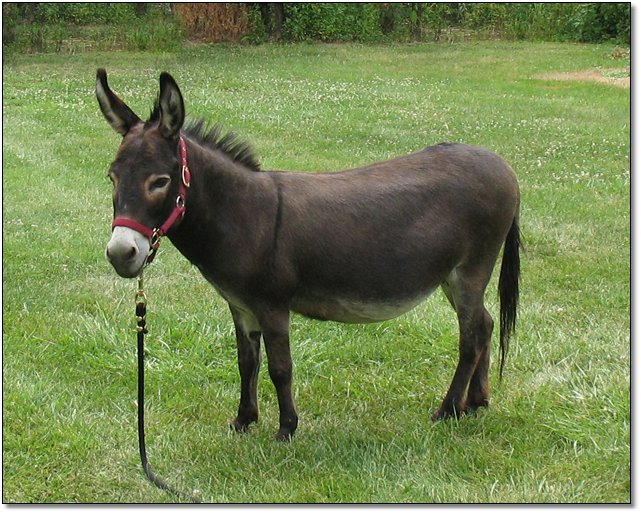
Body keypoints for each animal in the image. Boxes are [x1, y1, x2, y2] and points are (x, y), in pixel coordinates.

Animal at [96, 69, 521, 441]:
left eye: (159, 182)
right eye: (112, 178)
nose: (120, 253)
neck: (241, 214)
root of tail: (503, 165)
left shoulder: (272, 305)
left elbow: (280, 368)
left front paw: (286, 429)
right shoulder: (240, 306)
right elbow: (246, 363)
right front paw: (243, 421)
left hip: (471, 269)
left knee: (471, 335)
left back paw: (448, 410)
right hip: (452, 275)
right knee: (485, 324)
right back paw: (476, 402)